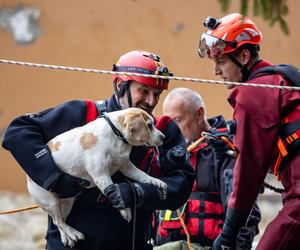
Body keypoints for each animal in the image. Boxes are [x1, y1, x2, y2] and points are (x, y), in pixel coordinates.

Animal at [27, 107, 168, 246]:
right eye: (149, 125)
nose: (163, 137)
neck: (115, 135)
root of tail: (28, 178)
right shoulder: (101, 175)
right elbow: (111, 190)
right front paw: (125, 211)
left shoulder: (126, 166)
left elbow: (143, 175)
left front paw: (156, 181)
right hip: (51, 202)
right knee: (58, 222)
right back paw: (73, 234)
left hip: (67, 202)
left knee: (61, 221)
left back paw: (68, 237)